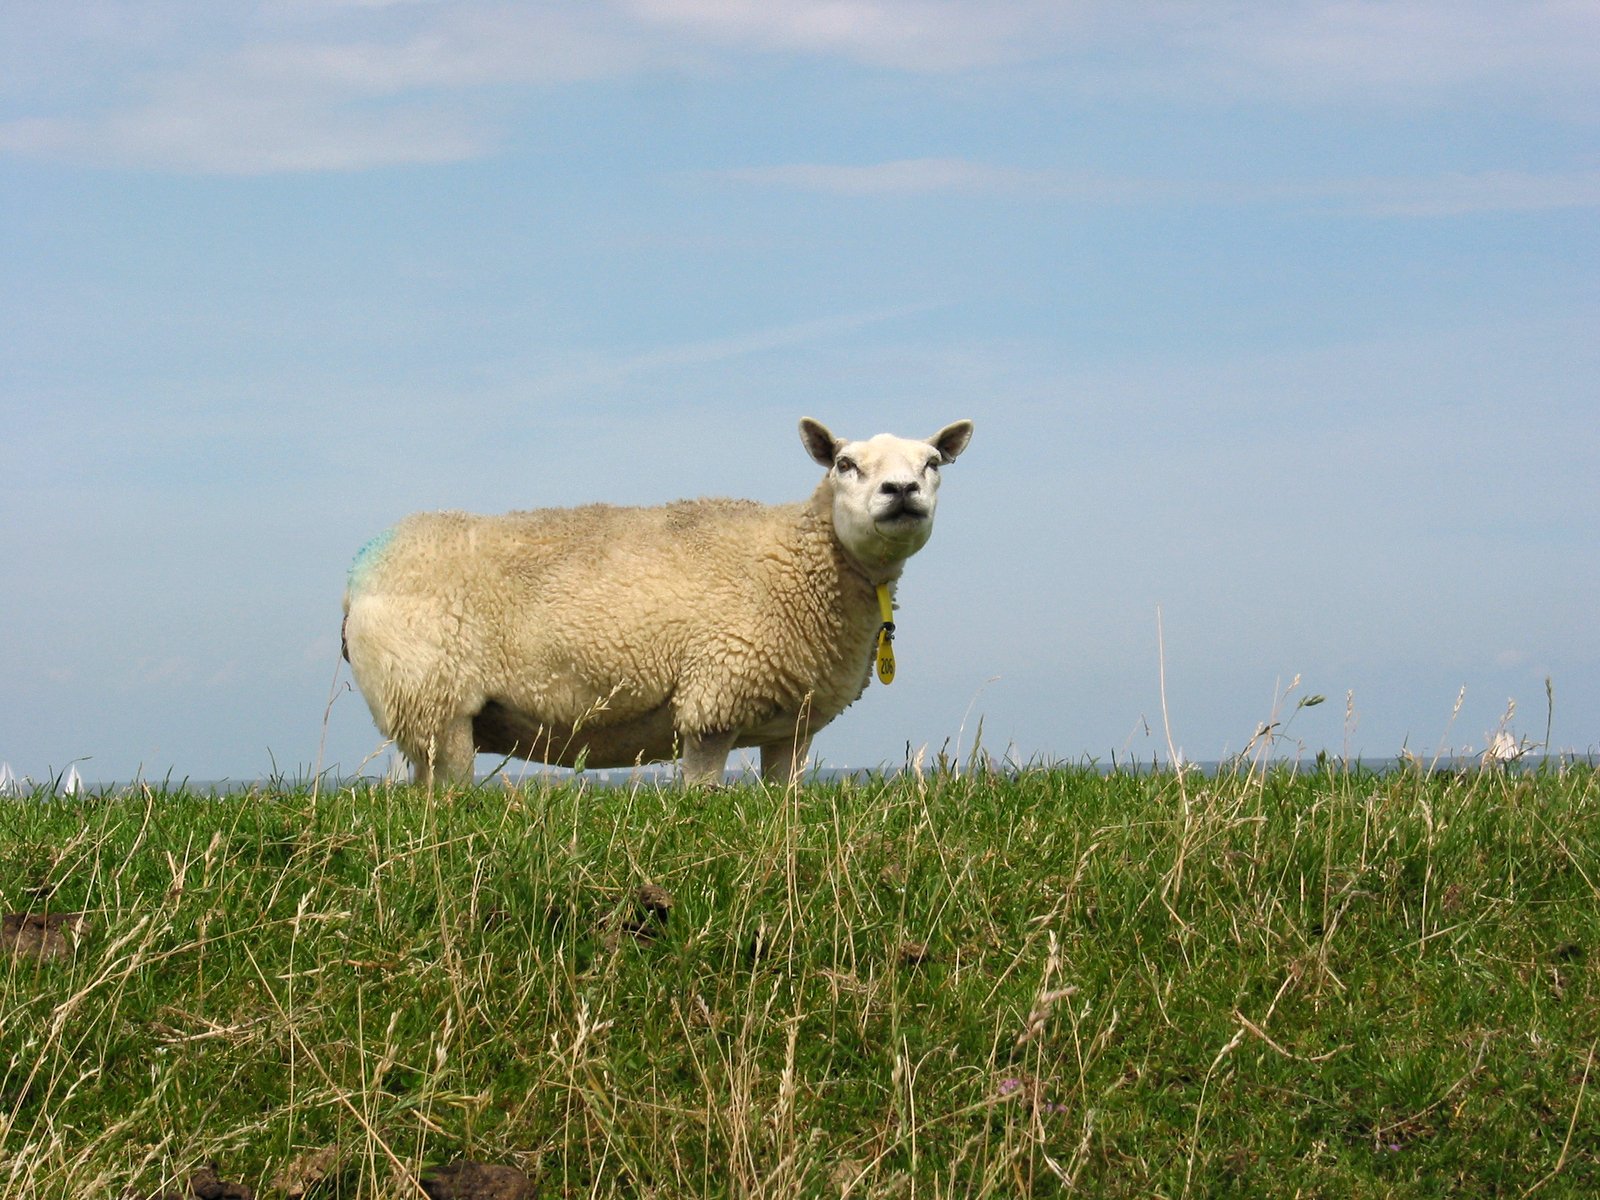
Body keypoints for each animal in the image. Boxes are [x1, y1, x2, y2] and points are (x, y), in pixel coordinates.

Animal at [340, 419, 972, 793]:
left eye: (933, 463)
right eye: (844, 464)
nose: (901, 491)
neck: (798, 559)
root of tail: (361, 570)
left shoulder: (791, 725)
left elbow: (784, 798)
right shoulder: (715, 698)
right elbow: (703, 790)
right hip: (433, 699)